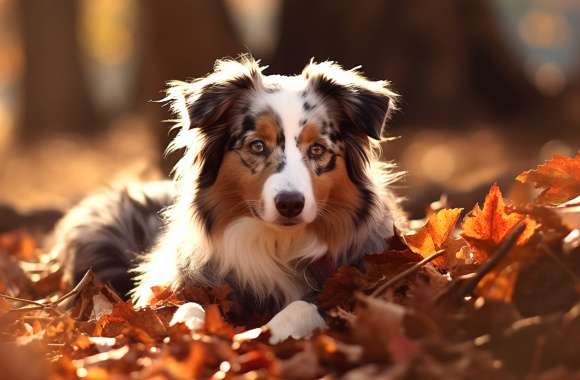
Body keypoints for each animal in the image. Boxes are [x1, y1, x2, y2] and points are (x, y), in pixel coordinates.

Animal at [51, 57, 404, 344]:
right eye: (257, 145)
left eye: (317, 149)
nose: (290, 203)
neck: (278, 242)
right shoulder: (172, 284)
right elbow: (186, 304)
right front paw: (188, 328)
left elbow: (302, 307)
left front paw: (269, 332)